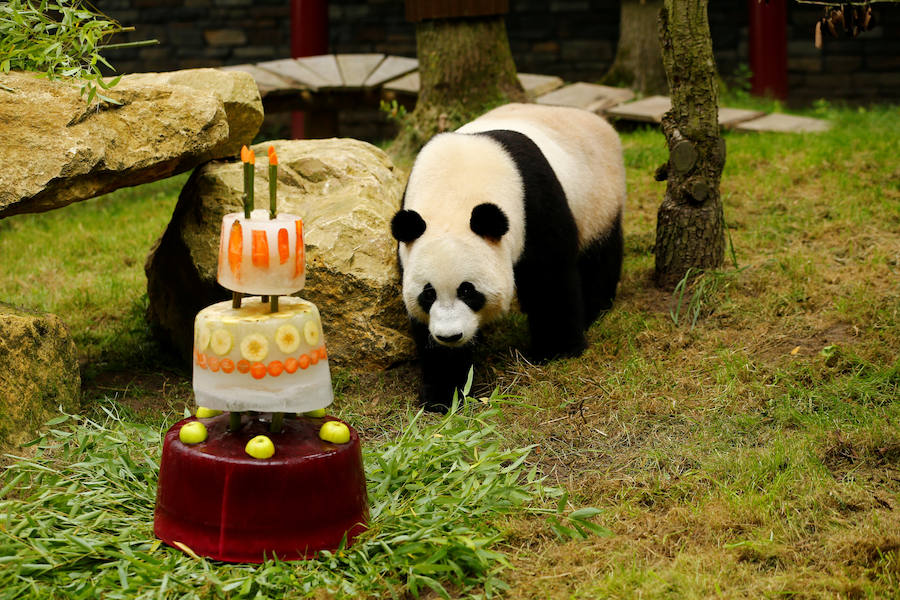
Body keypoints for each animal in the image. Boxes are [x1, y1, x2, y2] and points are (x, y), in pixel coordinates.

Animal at [390, 104, 628, 412]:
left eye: (468, 291)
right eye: (427, 294)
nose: (450, 336)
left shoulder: (534, 204)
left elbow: (550, 279)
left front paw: (556, 350)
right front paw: (443, 393)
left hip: (599, 198)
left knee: (599, 256)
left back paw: (593, 310)